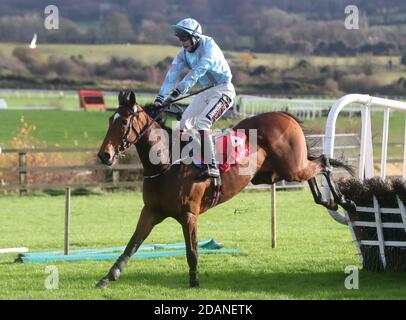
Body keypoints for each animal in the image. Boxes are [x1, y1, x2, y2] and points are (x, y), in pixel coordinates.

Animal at [95, 90, 352, 290]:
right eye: (109, 120)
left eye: (123, 122)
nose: (104, 155)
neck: (166, 163)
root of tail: (283, 114)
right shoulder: (150, 211)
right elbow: (132, 243)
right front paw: (109, 276)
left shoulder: (189, 214)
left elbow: (192, 250)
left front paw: (194, 280)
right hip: (277, 172)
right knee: (314, 167)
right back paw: (327, 200)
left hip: (291, 168)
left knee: (324, 162)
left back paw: (342, 200)